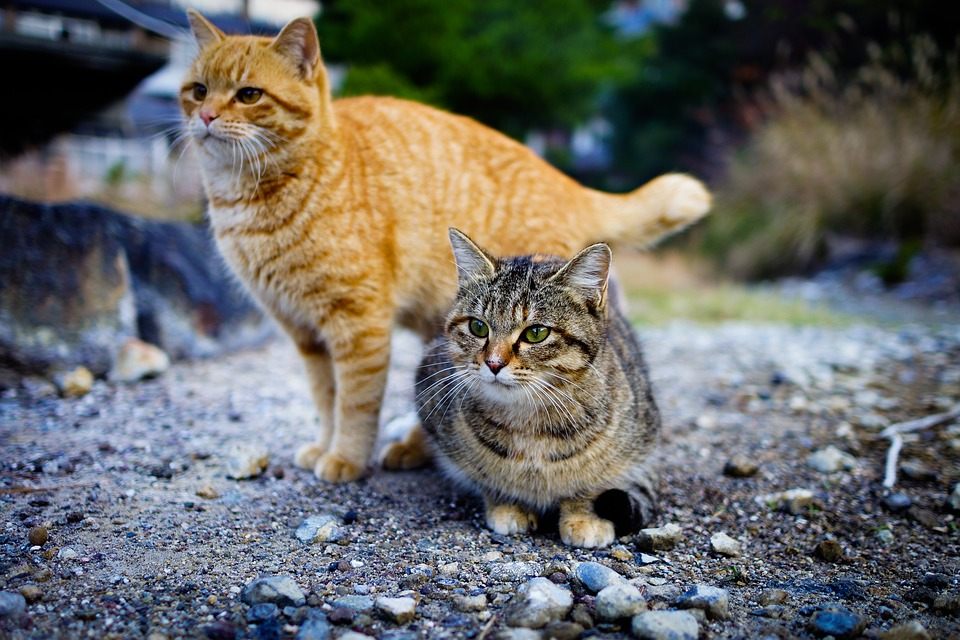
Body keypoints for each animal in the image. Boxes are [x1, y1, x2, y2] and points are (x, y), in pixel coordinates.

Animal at [180, 11, 708, 480]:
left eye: (249, 95)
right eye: (198, 90)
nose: (205, 116)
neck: (249, 198)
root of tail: (568, 181)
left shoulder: (358, 324)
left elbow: (355, 403)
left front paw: (345, 459)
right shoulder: (303, 331)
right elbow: (325, 399)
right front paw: (324, 445)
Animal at [414, 228, 660, 548]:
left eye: (536, 333)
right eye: (478, 327)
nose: (493, 363)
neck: (530, 425)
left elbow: (590, 485)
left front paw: (584, 518)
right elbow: (487, 477)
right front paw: (507, 504)